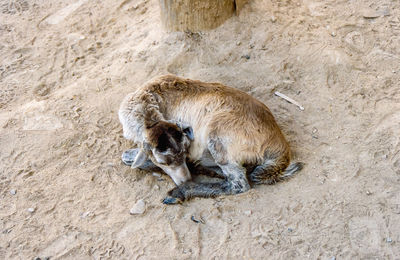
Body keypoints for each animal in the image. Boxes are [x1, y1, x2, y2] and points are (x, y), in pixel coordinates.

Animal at [119, 74, 304, 204]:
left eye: (185, 150)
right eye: (163, 161)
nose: (185, 179)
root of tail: (280, 148)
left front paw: (130, 156)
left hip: (217, 137)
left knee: (239, 184)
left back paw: (178, 193)